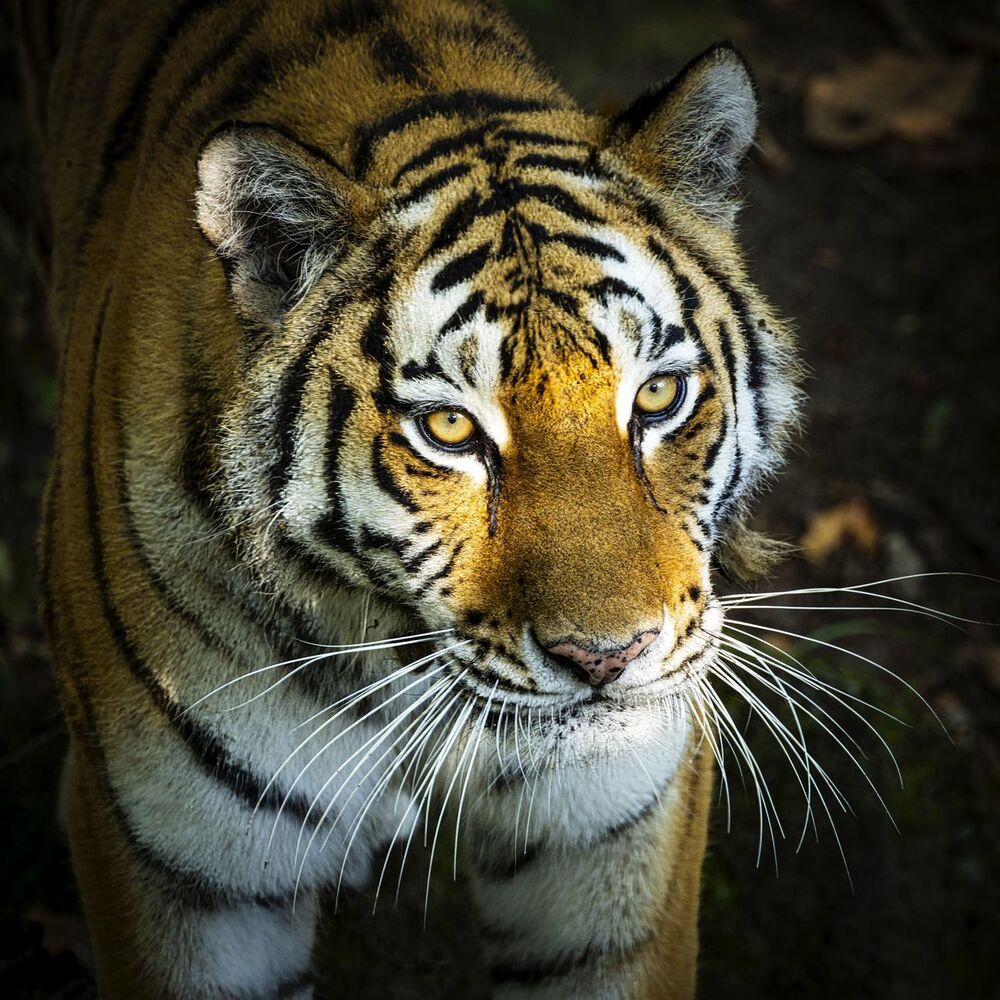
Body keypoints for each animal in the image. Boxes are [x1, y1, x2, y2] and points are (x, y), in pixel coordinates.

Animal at [31, 0, 801, 996]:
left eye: (659, 396)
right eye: (449, 430)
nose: (609, 658)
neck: (392, 657)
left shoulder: (615, 838)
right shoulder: (184, 874)